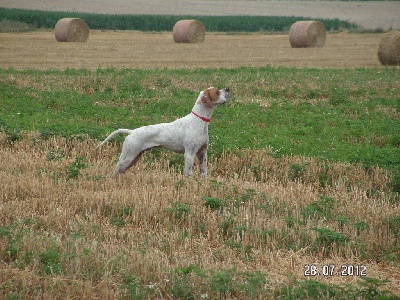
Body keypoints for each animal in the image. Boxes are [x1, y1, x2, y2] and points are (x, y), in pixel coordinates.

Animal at [97, 86, 231, 176]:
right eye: (217, 92)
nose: (228, 88)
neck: (199, 121)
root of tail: (131, 131)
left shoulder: (202, 153)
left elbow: (204, 173)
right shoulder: (189, 154)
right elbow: (187, 175)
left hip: (133, 158)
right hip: (127, 157)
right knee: (112, 173)